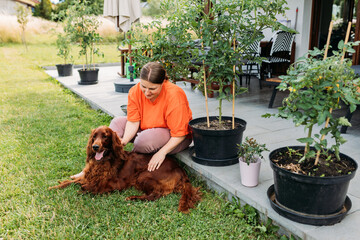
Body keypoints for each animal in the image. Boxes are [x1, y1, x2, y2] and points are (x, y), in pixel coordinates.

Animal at [50, 125, 202, 212]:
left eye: (105, 136)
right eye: (94, 136)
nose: (95, 147)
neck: (105, 161)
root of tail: (181, 170)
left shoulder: (114, 184)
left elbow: (89, 187)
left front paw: (83, 188)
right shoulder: (90, 175)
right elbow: (72, 182)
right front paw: (55, 187)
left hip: (144, 175)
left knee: (155, 195)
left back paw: (132, 197)